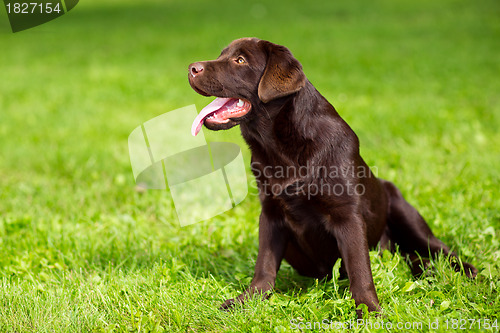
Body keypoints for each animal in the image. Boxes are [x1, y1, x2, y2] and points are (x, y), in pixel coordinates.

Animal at [188, 38, 476, 314]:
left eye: (240, 60)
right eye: (222, 55)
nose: (191, 67)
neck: (280, 148)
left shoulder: (347, 214)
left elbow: (360, 270)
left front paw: (369, 310)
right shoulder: (270, 212)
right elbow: (265, 265)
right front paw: (247, 300)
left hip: (404, 212)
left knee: (437, 248)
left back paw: (465, 271)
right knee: (408, 257)